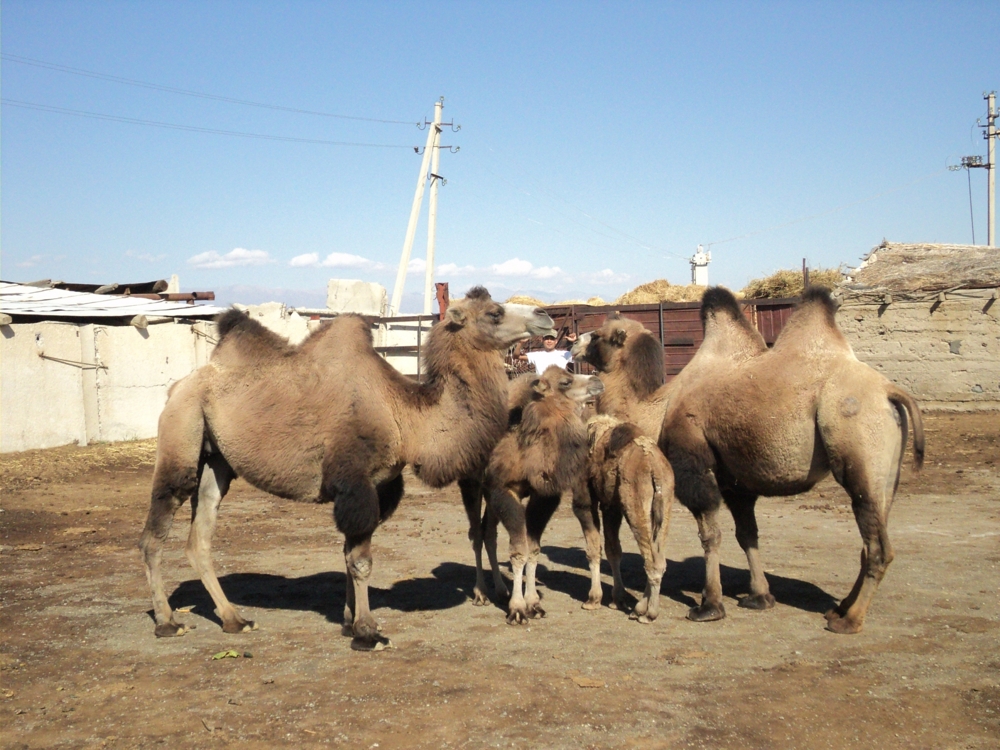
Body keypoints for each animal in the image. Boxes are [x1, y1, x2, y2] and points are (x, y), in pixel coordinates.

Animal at [139, 288, 556, 652]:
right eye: (494, 312)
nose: (545, 315)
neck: (406, 417)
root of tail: (176, 388)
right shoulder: (355, 484)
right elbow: (361, 561)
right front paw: (368, 632)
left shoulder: (380, 486)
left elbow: (348, 553)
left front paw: (348, 621)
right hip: (182, 432)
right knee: (156, 531)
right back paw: (168, 622)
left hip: (218, 462)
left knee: (200, 536)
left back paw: (233, 619)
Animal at [482, 368, 600, 624]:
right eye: (565, 382)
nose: (597, 380)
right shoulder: (504, 491)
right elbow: (519, 550)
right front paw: (517, 608)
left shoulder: (544, 496)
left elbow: (533, 548)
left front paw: (533, 603)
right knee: (478, 535)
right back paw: (481, 593)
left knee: (488, 534)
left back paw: (500, 591)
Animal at [584, 418, 672, 624]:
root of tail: (655, 468)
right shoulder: (611, 506)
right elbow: (613, 550)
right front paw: (617, 600)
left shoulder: (585, 499)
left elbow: (593, 548)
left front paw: (593, 600)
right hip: (664, 504)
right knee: (658, 557)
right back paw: (639, 608)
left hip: (635, 505)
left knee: (651, 560)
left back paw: (648, 613)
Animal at [660, 288, 924, 636]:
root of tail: (888, 391)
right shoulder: (734, 480)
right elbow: (747, 534)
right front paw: (759, 597)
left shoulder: (695, 462)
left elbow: (710, 535)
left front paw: (709, 606)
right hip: (887, 476)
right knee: (871, 539)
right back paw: (840, 608)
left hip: (858, 450)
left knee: (878, 546)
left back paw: (849, 621)